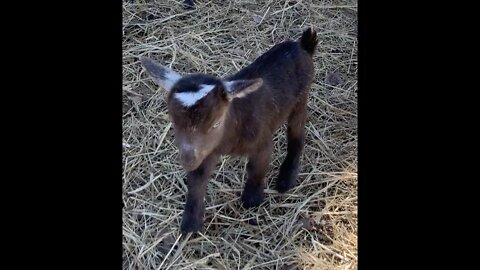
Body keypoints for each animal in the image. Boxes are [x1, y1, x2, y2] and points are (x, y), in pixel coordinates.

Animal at [141, 28, 316, 233]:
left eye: (216, 123)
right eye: (174, 122)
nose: (187, 161)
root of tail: (302, 46)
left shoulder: (262, 141)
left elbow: (257, 168)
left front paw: (252, 199)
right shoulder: (204, 151)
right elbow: (196, 181)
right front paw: (190, 224)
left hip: (300, 101)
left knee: (297, 134)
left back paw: (286, 179)